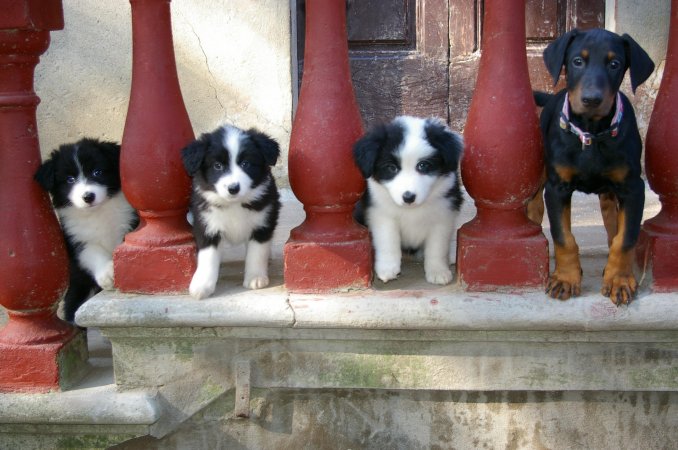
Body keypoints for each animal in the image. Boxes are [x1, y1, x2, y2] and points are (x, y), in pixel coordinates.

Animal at [34, 139, 138, 322]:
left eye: (97, 172)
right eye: (70, 179)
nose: (88, 196)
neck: (97, 213)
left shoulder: (129, 222)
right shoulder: (77, 239)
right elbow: (92, 252)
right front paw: (107, 274)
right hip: (78, 288)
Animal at [181, 124, 282, 298]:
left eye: (246, 164)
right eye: (217, 166)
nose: (233, 188)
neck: (234, 204)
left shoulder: (262, 223)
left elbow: (257, 253)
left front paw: (255, 278)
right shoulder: (206, 225)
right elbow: (207, 257)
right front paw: (201, 285)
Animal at [354, 116, 464, 284]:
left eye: (423, 165)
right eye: (391, 168)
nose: (408, 197)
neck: (412, 210)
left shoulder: (443, 217)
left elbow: (437, 247)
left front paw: (438, 271)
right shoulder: (381, 214)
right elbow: (388, 240)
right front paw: (387, 268)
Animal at [532, 29, 660, 306]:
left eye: (615, 64)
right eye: (578, 61)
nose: (592, 99)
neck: (591, 131)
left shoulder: (633, 189)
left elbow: (626, 238)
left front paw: (620, 281)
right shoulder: (557, 188)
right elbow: (563, 236)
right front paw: (565, 279)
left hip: (611, 191)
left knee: (612, 223)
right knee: (534, 204)